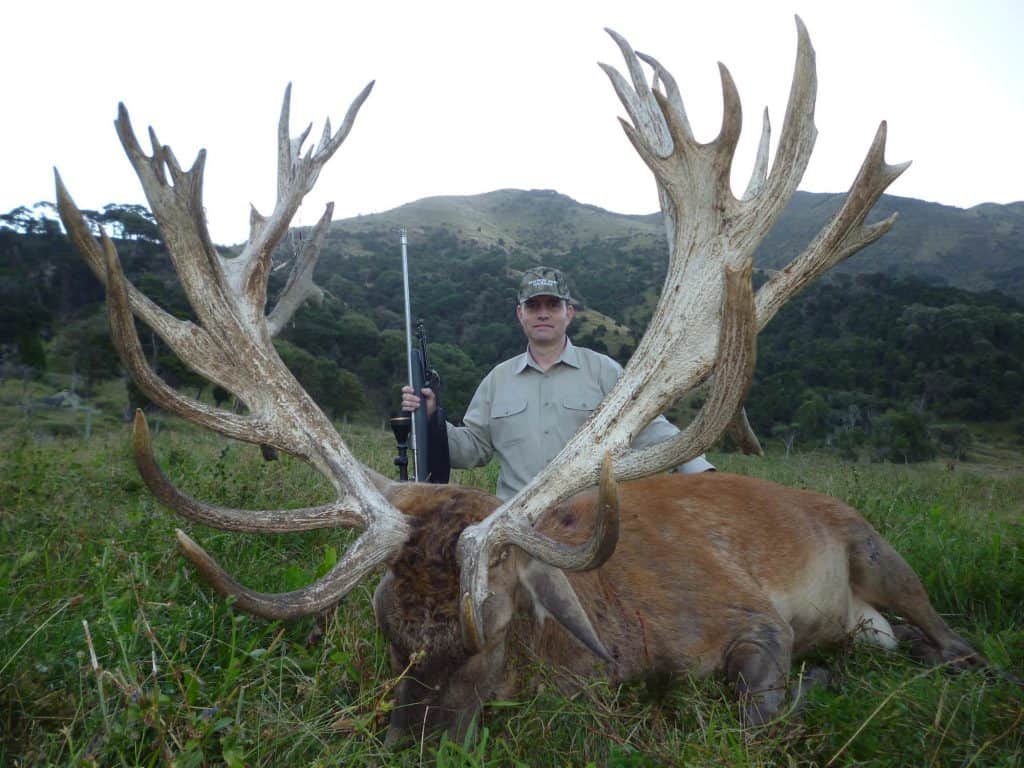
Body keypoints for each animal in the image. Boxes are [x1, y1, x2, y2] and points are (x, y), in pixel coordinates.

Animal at [56, 17, 983, 746]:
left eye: (497, 625)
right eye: (387, 630)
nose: (415, 743)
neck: (615, 634)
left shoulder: (748, 617)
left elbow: (760, 720)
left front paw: (809, 689)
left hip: (879, 551)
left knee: (951, 641)